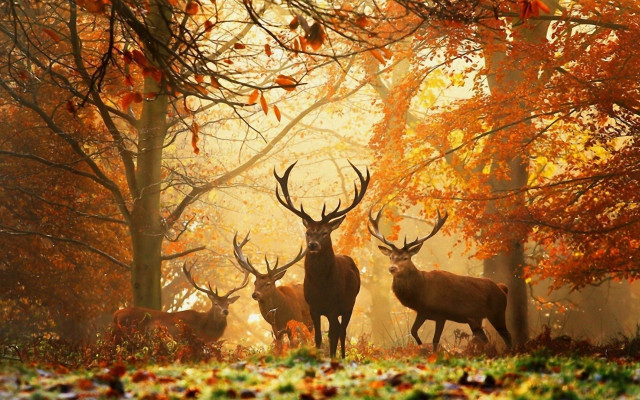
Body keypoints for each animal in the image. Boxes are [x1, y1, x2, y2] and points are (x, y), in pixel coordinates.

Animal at [274, 161, 369, 358]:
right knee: (339, 330)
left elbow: (332, 335)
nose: (313, 245)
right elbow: (318, 337)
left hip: (350, 303)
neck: (321, 286)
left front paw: (332, 358)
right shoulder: (313, 307)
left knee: (342, 331)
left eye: (325, 232)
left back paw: (342, 357)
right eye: (308, 232)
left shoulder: (334, 306)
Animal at [368, 207, 512, 352]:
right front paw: (421, 346)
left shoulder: (441, 314)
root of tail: (502, 288)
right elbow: (413, 331)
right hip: (475, 319)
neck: (421, 292)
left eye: (405, 258)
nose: (392, 268)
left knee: (507, 336)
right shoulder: (423, 312)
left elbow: (435, 340)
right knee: (485, 339)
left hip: (497, 312)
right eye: (390, 257)